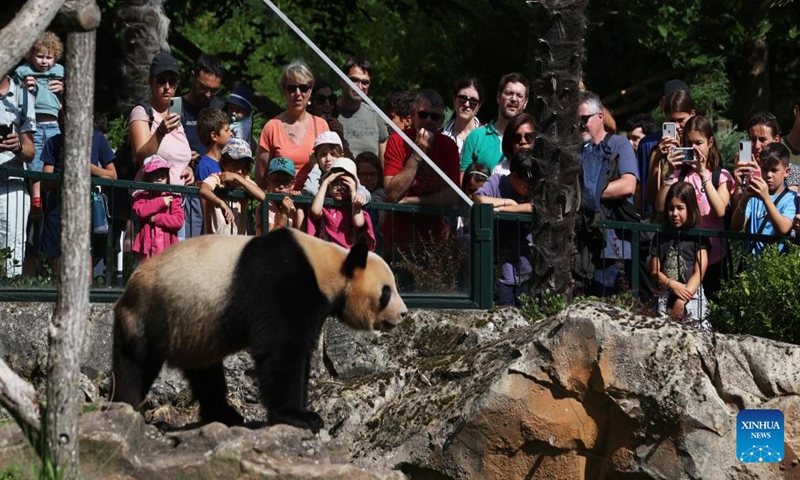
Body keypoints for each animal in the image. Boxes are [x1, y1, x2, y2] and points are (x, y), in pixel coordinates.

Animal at [112, 228, 407, 433]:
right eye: (386, 292)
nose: (403, 313)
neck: (329, 266)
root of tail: (127, 286)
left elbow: (300, 352)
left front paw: (304, 411)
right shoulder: (283, 282)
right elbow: (281, 349)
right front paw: (299, 417)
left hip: (193, 325)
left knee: (205, 372)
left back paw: (226, 415)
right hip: (150, 311)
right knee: (135, 363)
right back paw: (129, 410)